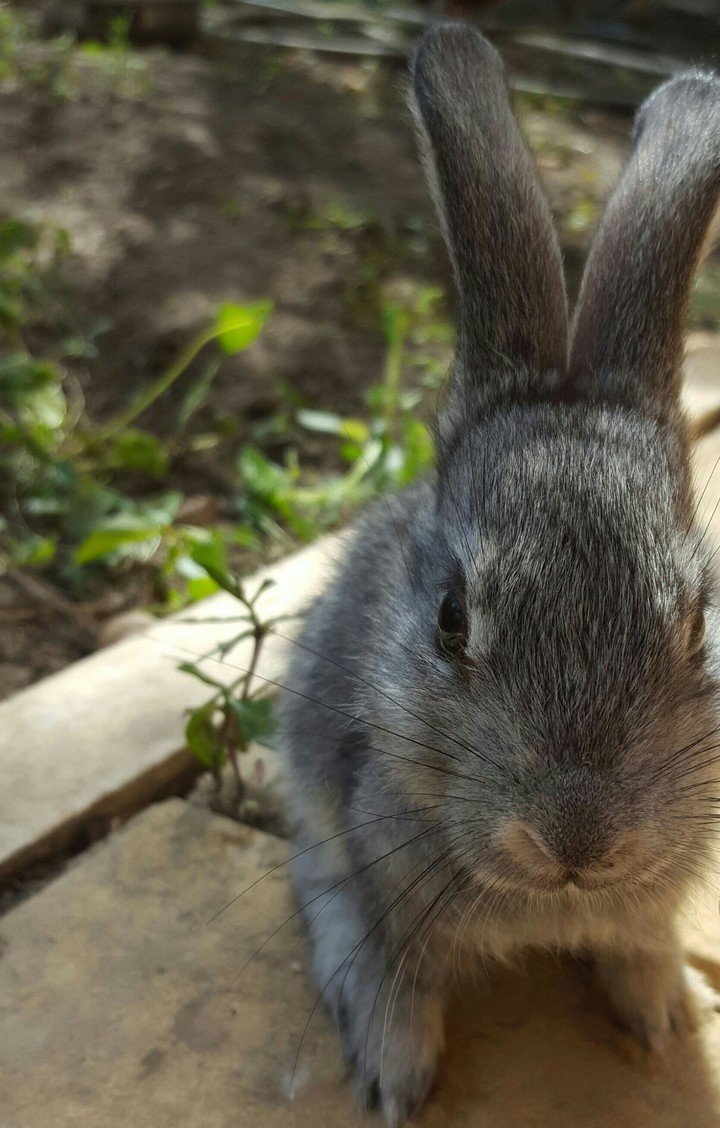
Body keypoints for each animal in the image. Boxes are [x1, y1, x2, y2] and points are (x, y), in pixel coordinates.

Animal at [281, 23, 720, 1127]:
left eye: (696, 625)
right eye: (450, 620)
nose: (577, 839)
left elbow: (638, 947)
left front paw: (662, 1020)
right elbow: (400, 975)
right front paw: (399, 1078)